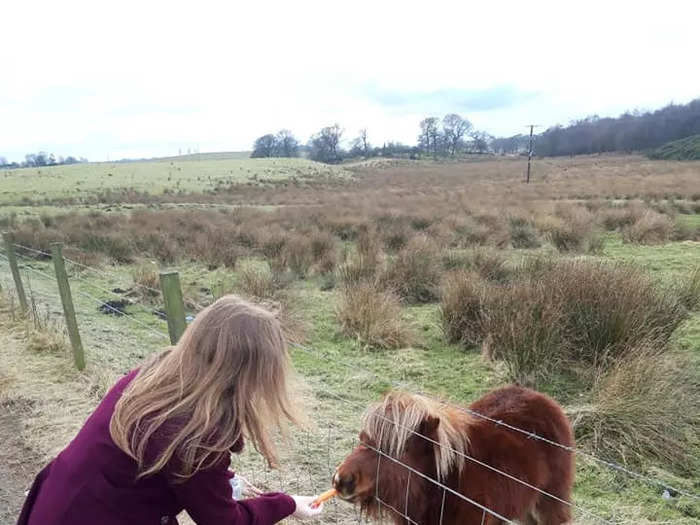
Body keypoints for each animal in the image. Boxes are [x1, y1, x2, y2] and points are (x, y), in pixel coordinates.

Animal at [334, 384, 576, 524]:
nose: (341, 480)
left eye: (395, 450)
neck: (446, 483)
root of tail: (543, 398)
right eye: (363, 438)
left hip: (550, 502)